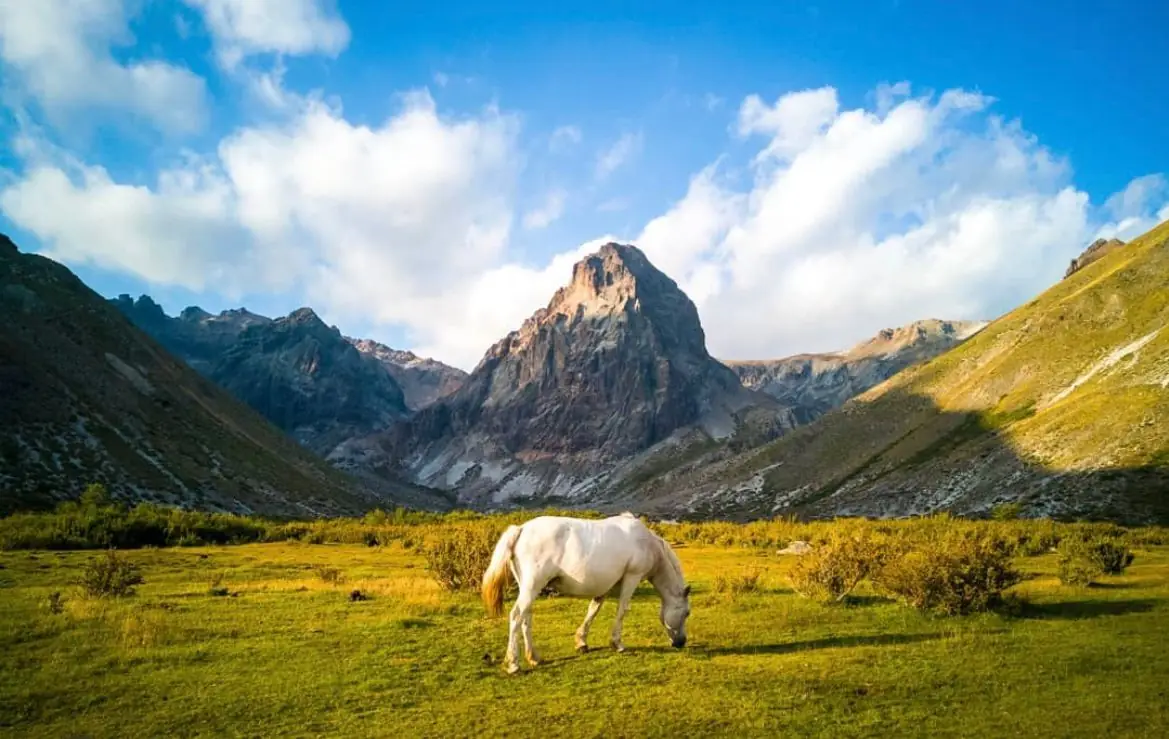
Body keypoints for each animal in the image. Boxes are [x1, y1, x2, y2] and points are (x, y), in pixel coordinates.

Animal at [481, 512, 691, 674]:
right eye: (687, 613)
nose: (681, 642)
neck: (647, 543)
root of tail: (521, 529)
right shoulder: (632, 577)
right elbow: (622, 610)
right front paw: (617, 643)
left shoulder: (605, 586)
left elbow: (593, 610)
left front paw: (581, 642)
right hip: (532, 586)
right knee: (516, 616)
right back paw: (513, 664)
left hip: (529, 588)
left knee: (526, 617)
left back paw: (534, 657)